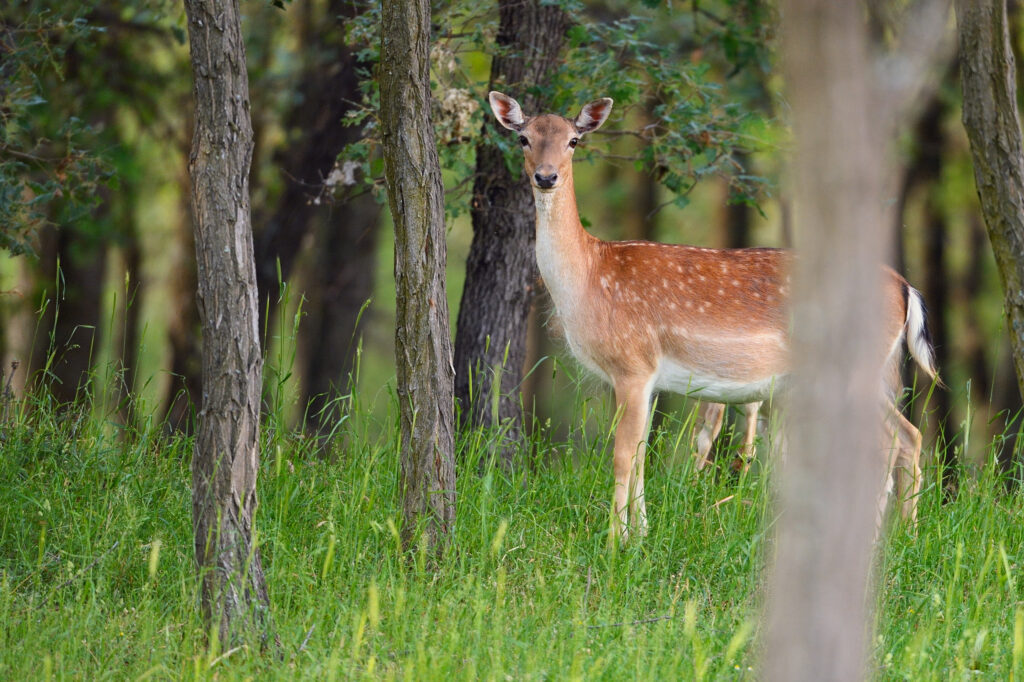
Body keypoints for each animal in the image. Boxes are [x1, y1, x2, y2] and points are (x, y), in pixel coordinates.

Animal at [491, 91, 937, 536]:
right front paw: (643, 533)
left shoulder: (632, 364)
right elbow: (641, 454)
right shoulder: (648, 378)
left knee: (887, 442)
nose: (546, 177)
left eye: (573, 141)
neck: (588, 279)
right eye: (524, 138)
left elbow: (622, 455)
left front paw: (615, 540)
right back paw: (906, 533)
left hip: (858, 368)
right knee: (910, 436)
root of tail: (906, 287)